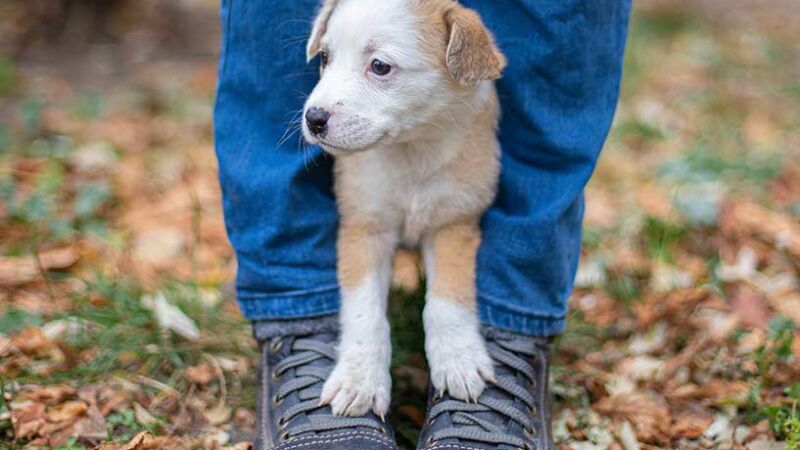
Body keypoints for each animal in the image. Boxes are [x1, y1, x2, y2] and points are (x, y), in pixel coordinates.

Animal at [304, 0, 504, 418]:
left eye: (380, 66)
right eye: (326, 58)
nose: (313, 118)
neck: (413, 151)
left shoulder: (453, 224)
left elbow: (447, 302)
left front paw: (458, 360)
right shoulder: (364, 228)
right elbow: (364, 312)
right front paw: (359, 381)